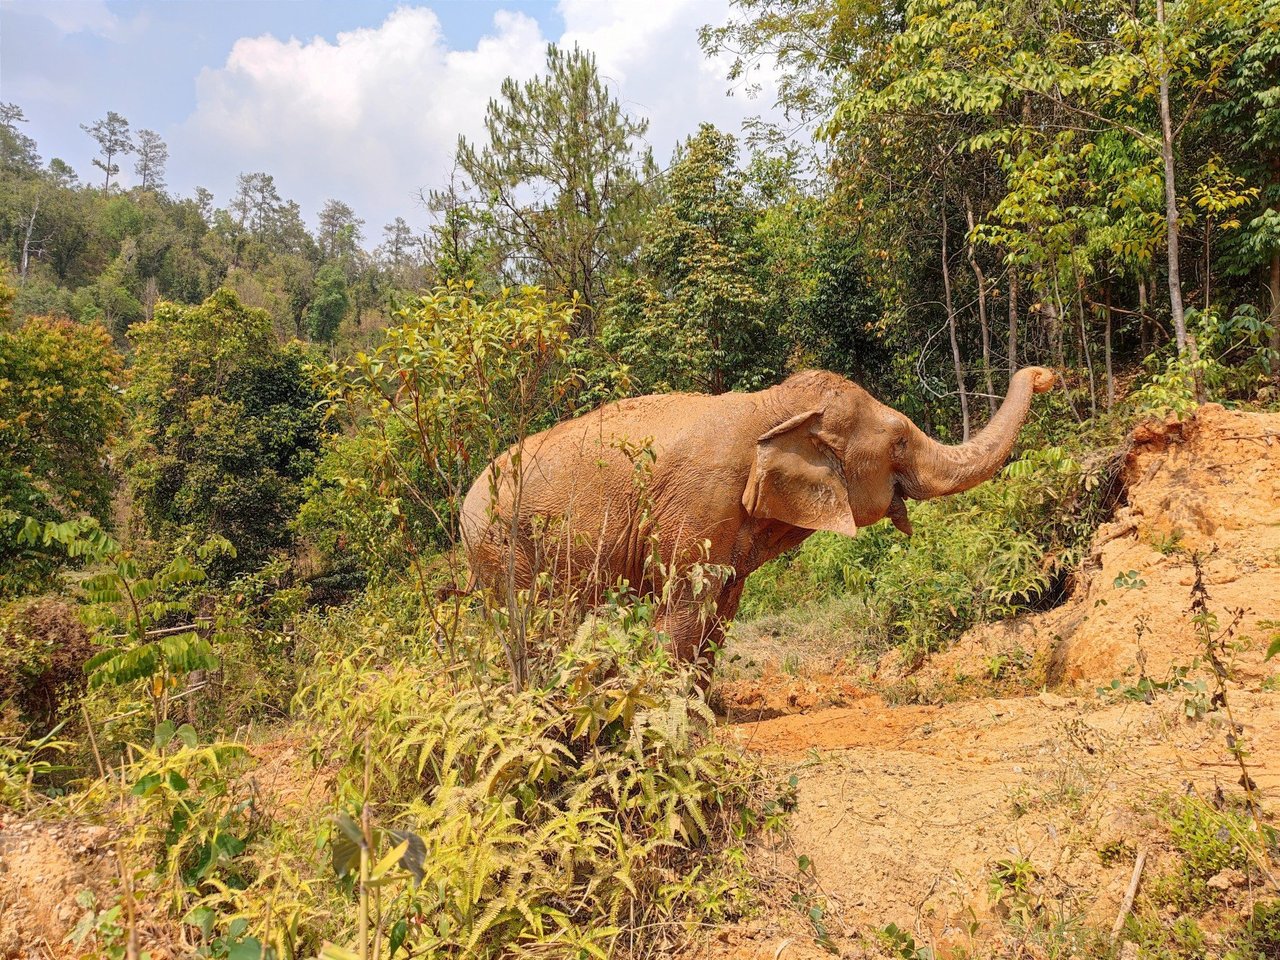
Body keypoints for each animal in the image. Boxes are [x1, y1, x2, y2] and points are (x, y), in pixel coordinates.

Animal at [458, 363, 1049, 665]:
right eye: (900, 441)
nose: (1046, 374)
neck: (773, 405)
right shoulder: (699, 502)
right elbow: (685, 607)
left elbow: (723, 610)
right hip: (501, 546)